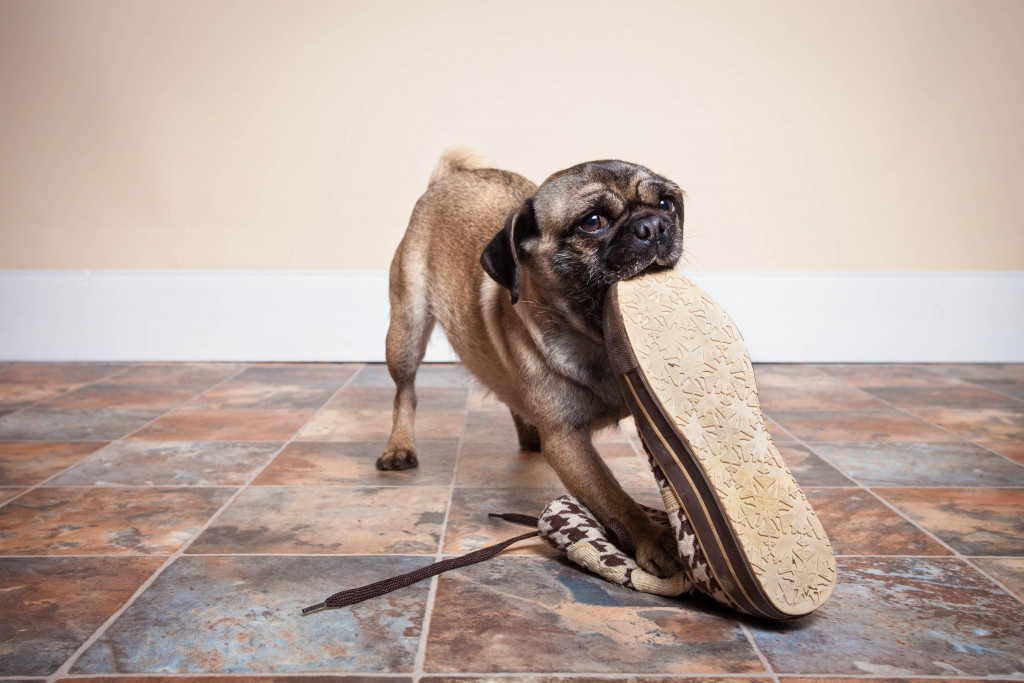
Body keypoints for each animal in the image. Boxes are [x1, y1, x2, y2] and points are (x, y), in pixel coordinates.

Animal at [380, 149, 684, 577]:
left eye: (667, 204)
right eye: (592, 222)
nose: (654, 225)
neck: (598, 345)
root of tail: (450, 178)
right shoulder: (567, 442)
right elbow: (613, 498)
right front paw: (653, 539)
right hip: (406, 334)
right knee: (404, 394)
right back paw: (399, 447)